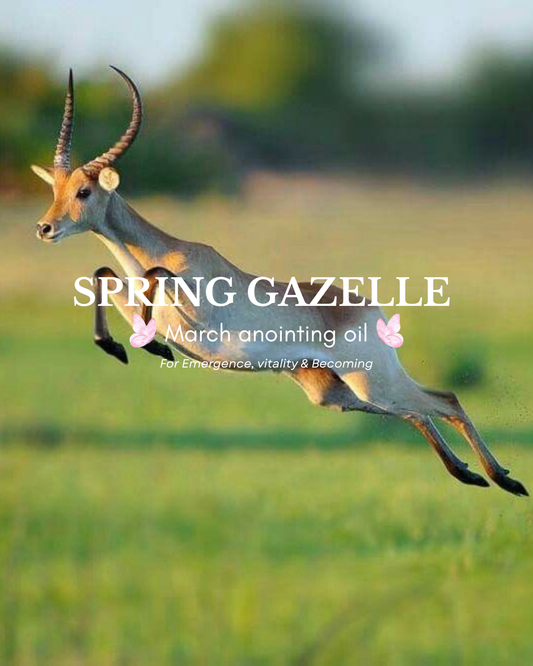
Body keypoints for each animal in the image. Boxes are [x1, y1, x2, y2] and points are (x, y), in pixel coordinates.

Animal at [33, 67, 527, 497]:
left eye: (84, 191)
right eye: (55, 190)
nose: (44, 228)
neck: (167, 249)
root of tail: (368, 307)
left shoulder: (197, 310)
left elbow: (154, 275)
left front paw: (154, 347)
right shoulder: (135, 297)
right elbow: (103, 274)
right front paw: (121, 346)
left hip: (373, 382)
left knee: (445, 400)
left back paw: (503, 480)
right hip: (335, 393)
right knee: (418, 414)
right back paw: (473, 475)